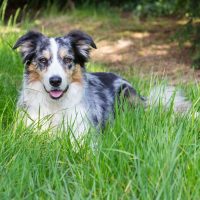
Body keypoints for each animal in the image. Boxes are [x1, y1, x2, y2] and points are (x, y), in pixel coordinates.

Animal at [12, 30, 194, 141]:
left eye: (68, 59)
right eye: (43, 60)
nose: (55, 81)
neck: (55, 105)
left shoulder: (83, 132)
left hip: (127, 94)